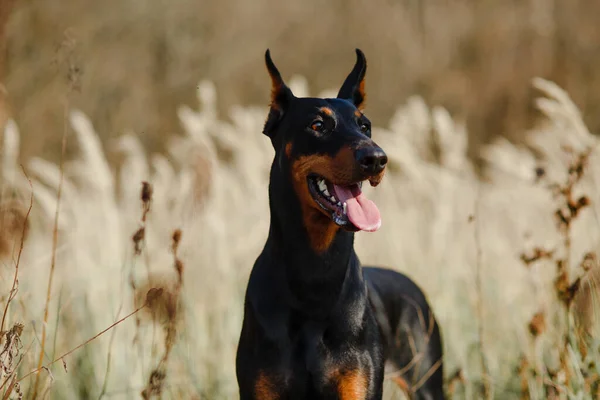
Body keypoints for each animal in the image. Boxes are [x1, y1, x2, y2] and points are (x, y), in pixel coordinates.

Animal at [234, 48, 446, 398]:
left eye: (366, 126)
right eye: (318, 124)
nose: (377, 158)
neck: (316, 273)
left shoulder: (356, 383)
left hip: (425, 378)